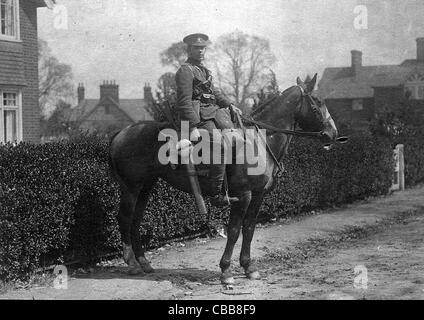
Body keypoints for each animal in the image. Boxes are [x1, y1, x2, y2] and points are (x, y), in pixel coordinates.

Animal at [108, 74, 344, 284]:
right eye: (317, 102)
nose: (333, 134)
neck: (260, 141)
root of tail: (122, 132)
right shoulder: (243, 195)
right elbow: (234, 231)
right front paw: (226, 270)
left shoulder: (258, 195)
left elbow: (249, 228)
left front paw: (249, 267)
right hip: (132, 187)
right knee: (125, 218)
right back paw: (132, 264)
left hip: (146, 186)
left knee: (136, 220)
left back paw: (143, 262)